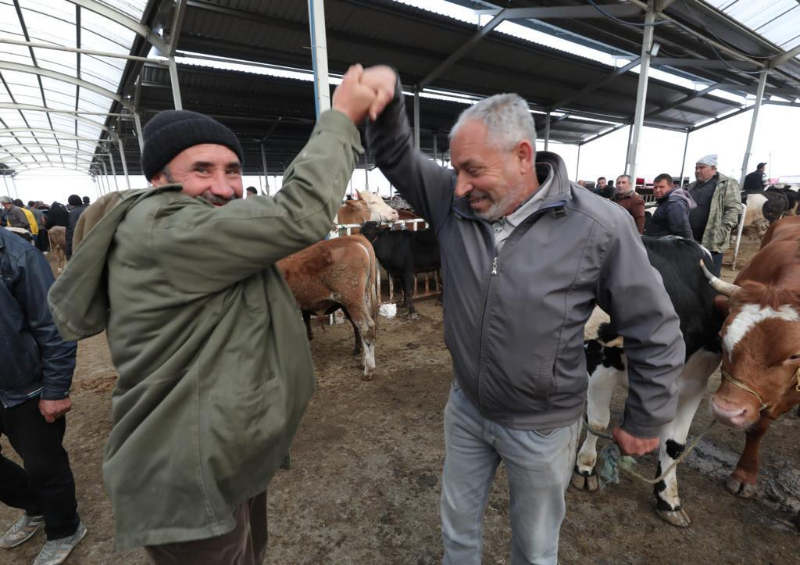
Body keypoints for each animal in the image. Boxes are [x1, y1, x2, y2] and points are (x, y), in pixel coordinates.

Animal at [278, 234, 378, 378]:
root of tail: (355, 238)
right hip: (363, 298)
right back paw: (363, 362)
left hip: (352, 300)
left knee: (366, 327)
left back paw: (368, 369)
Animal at [568, 236, 724, 528]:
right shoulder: (599, 364)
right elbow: (598, 422)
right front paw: (584, 468)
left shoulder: (695, 386)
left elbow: (674, 445)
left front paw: (669, 501)